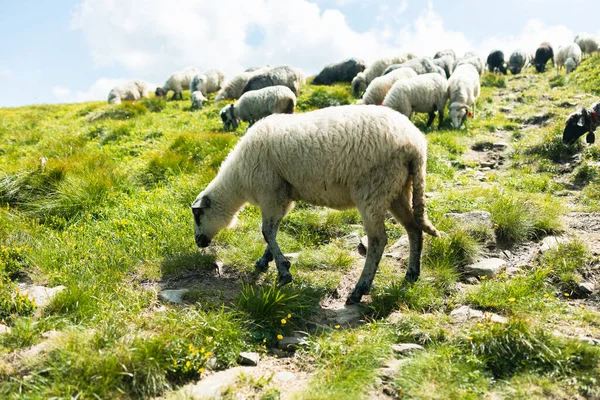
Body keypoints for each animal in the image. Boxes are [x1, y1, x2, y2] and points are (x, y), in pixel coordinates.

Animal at [192, 104, 440, 304]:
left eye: (197, 215)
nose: (198, 242)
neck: (239, 179)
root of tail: (415, 145)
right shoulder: (282, 196)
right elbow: (272, 230)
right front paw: (266, 260)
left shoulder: (270, 192)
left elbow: (267, 231)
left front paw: (283, 272)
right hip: (398, 189)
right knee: (414, 228)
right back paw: (411, 275)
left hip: (373, 190)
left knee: (378, 240)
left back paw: (359, 290)